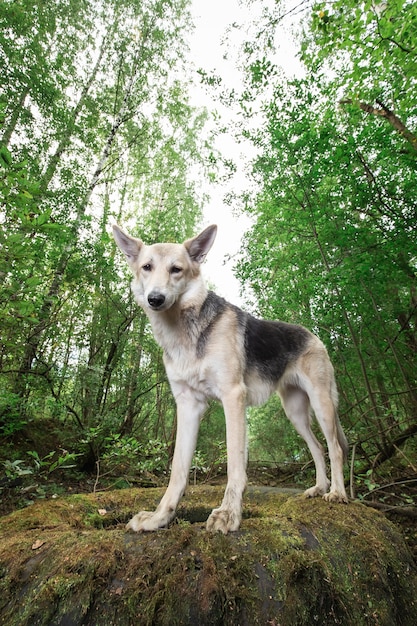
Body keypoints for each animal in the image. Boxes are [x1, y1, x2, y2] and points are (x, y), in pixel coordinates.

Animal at [111, 221, 348, 532]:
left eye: (176, 269)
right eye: (147, 267)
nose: (155, 299)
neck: (183, 332)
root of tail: (313, 334)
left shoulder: (233, 397)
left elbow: (235, 466)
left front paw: (229, 514)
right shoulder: (188, 406)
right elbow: (177, 471)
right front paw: (160, 517)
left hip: (322, 406)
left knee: (335, 448)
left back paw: (338, 493)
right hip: (295, 413)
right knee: (318, 448)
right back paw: (320, 488)